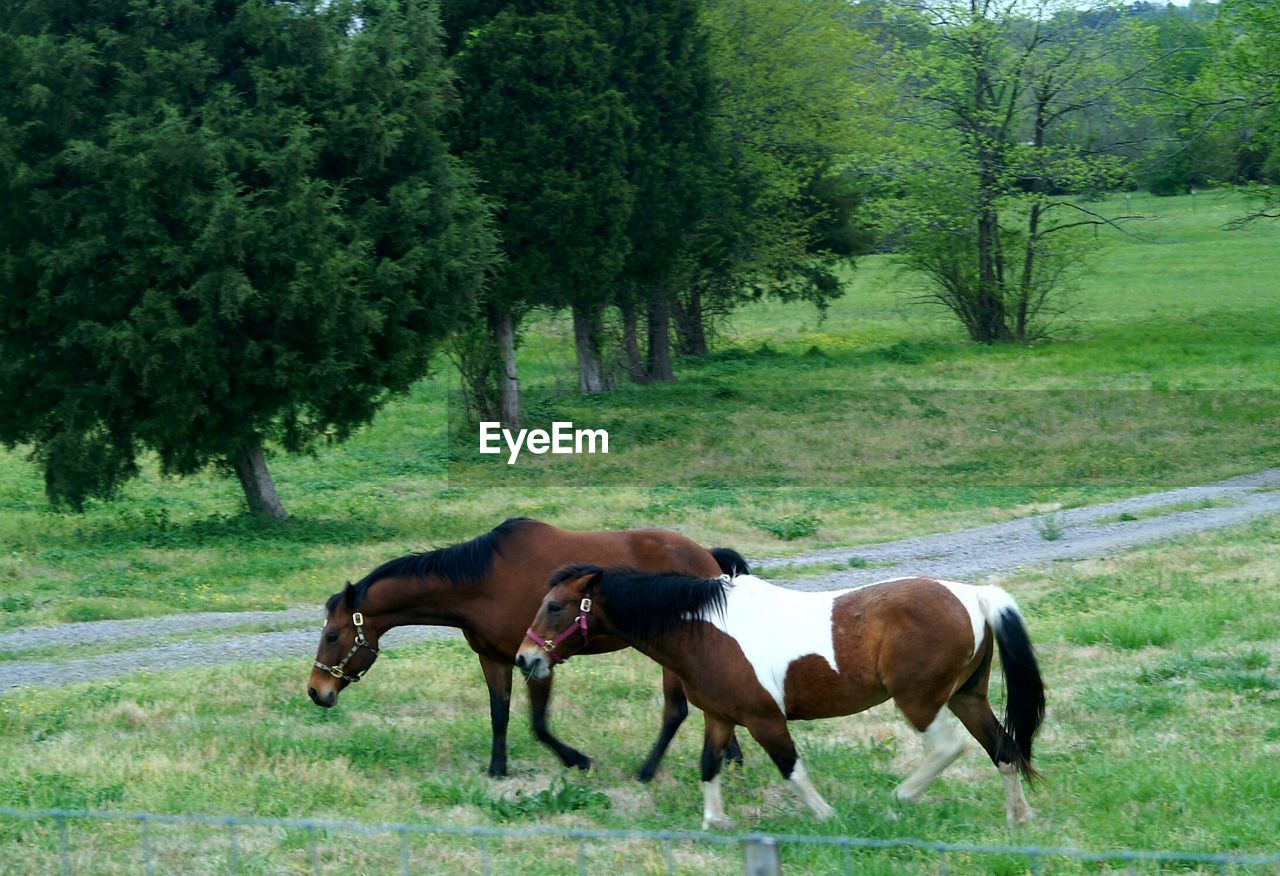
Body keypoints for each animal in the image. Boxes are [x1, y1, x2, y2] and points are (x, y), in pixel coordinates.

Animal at [309, 517, 747, 778]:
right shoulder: (495, 659)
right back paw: (732, 758)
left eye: (332, 635)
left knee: (676, 711)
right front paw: (497, 768)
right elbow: (499, 715)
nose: (316, 691)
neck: (484, 583)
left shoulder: (538, 662)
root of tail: (708, 557)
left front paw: (577, 759)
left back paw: (651, 770)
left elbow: (538, 722)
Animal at [514, 568, 1044, 829]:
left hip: (921, 701)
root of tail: (974, 596)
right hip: (966, 698)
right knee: (1003, 749)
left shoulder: (764, 719)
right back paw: (1019, 819)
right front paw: (715, 822)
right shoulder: (719, 717)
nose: (525, 659)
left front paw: (828, 818)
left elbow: (792, 770)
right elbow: (709, 766)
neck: (705, 628)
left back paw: (897, 800)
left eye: (555, 607)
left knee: (949, 748)